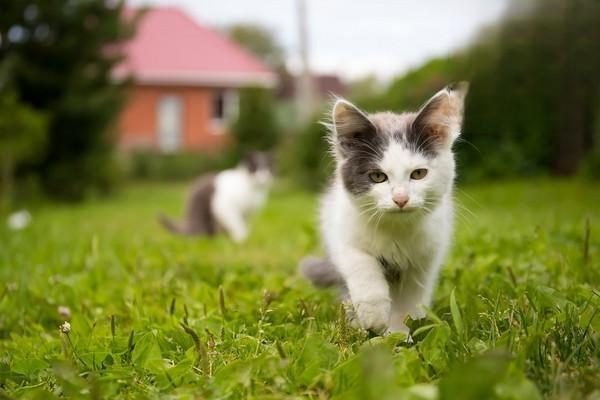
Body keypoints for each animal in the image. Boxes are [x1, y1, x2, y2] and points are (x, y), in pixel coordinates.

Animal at [300, 83, 468, 332]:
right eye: (378, 176)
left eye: (419, 174)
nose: (400, 199)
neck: (396, 230)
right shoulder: (342, 234)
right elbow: (363, 266)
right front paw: (374, 315)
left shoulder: (424, 260)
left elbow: (408, 303)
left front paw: (399, 333)